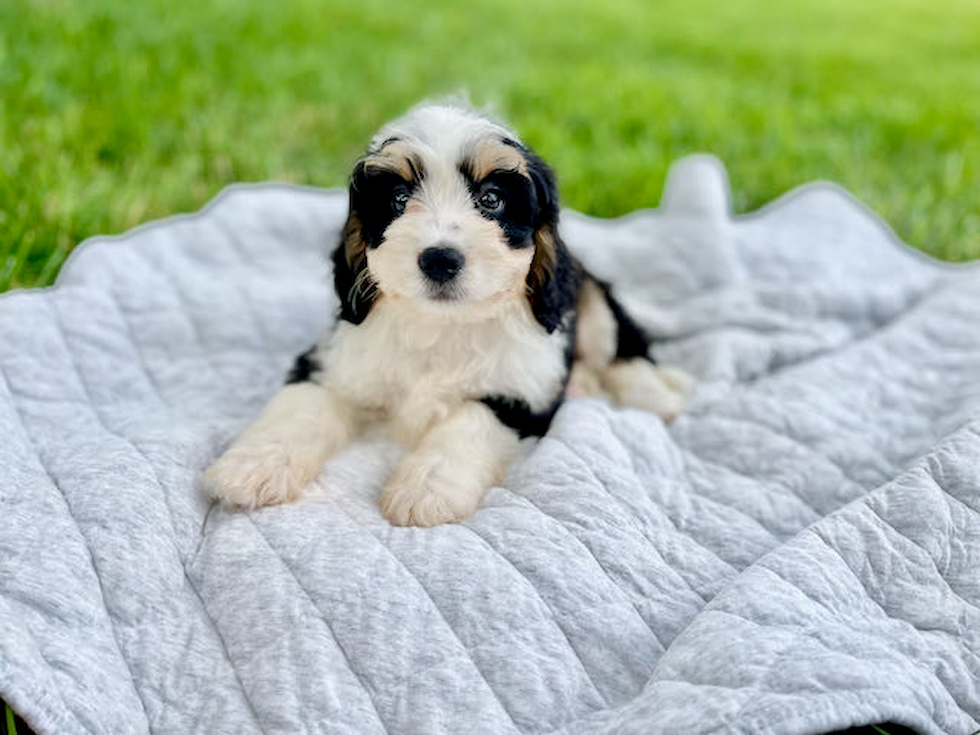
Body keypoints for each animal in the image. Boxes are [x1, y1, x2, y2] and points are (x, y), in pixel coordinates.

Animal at [201, 105, 688, 528]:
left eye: (491, 199)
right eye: (399, 199)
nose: (439, 259)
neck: (442, 325)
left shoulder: (521, 390)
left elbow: (468, 422)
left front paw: (425, 488)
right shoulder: (335, 359)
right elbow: (302, 406)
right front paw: (251, 465)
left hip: (592, 301)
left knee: (622, 348)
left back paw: (652, 396)